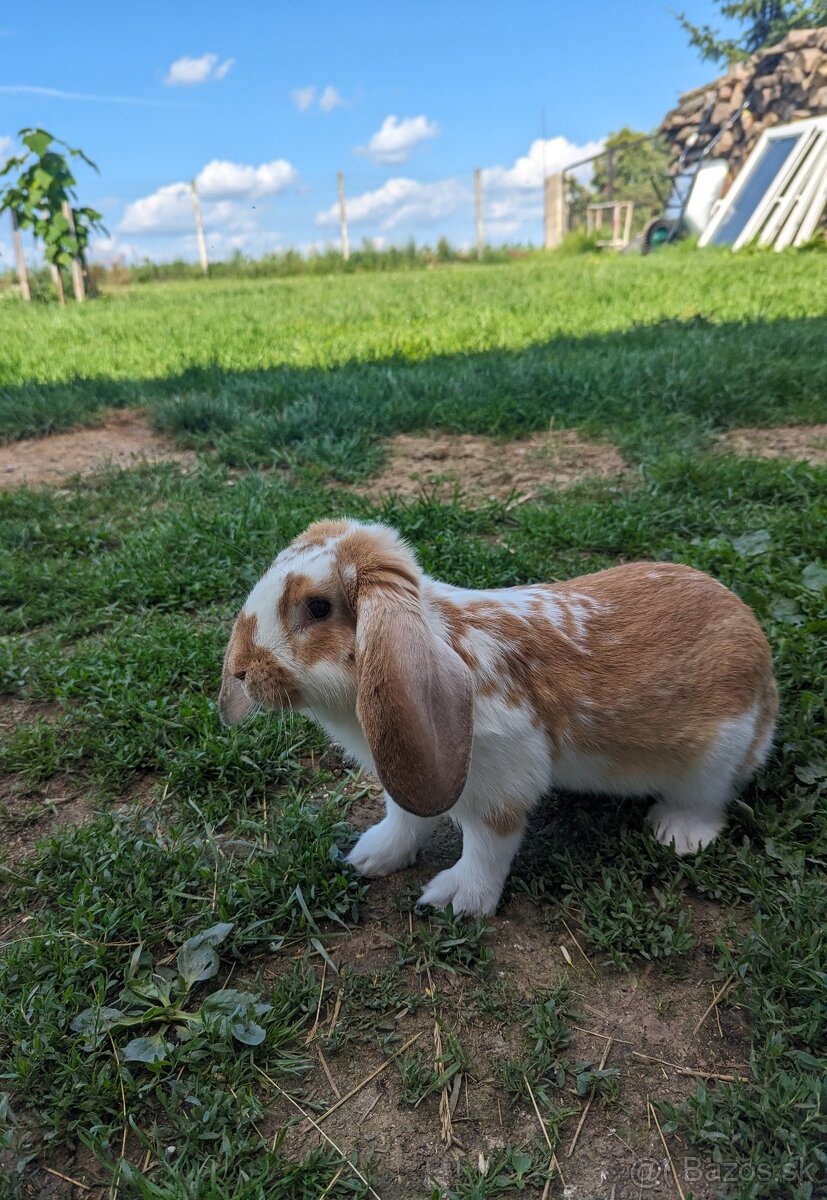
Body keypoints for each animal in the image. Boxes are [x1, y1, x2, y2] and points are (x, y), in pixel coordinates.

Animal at [217, 518, 772, 916]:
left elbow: (486, 847)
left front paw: (458, 901)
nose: (241, 670)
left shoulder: (498, 787)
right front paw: (370, 857)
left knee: (709, 800)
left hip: (713, 759)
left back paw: (678, 834)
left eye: (317, 607)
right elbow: (406, 818)